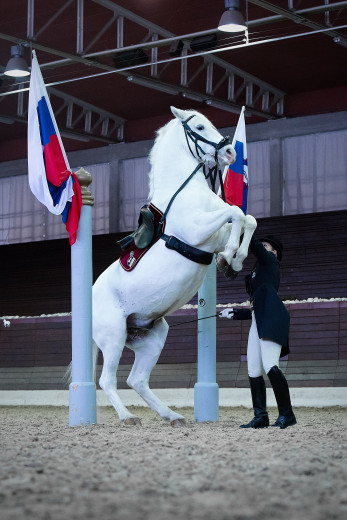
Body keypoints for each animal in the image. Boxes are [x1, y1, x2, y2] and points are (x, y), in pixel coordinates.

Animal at [91, 106, 256, 426]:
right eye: (200, 127)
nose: (230, 152)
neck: (186, 192)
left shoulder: (215, 234)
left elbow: (246, 219)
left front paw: (232, 261)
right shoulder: (198, 230)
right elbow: (235, 212)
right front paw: (231, 255)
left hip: (152, 339)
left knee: (137, 380)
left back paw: (172, 415)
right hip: (113, 338)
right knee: (107, 380)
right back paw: (128, 417)